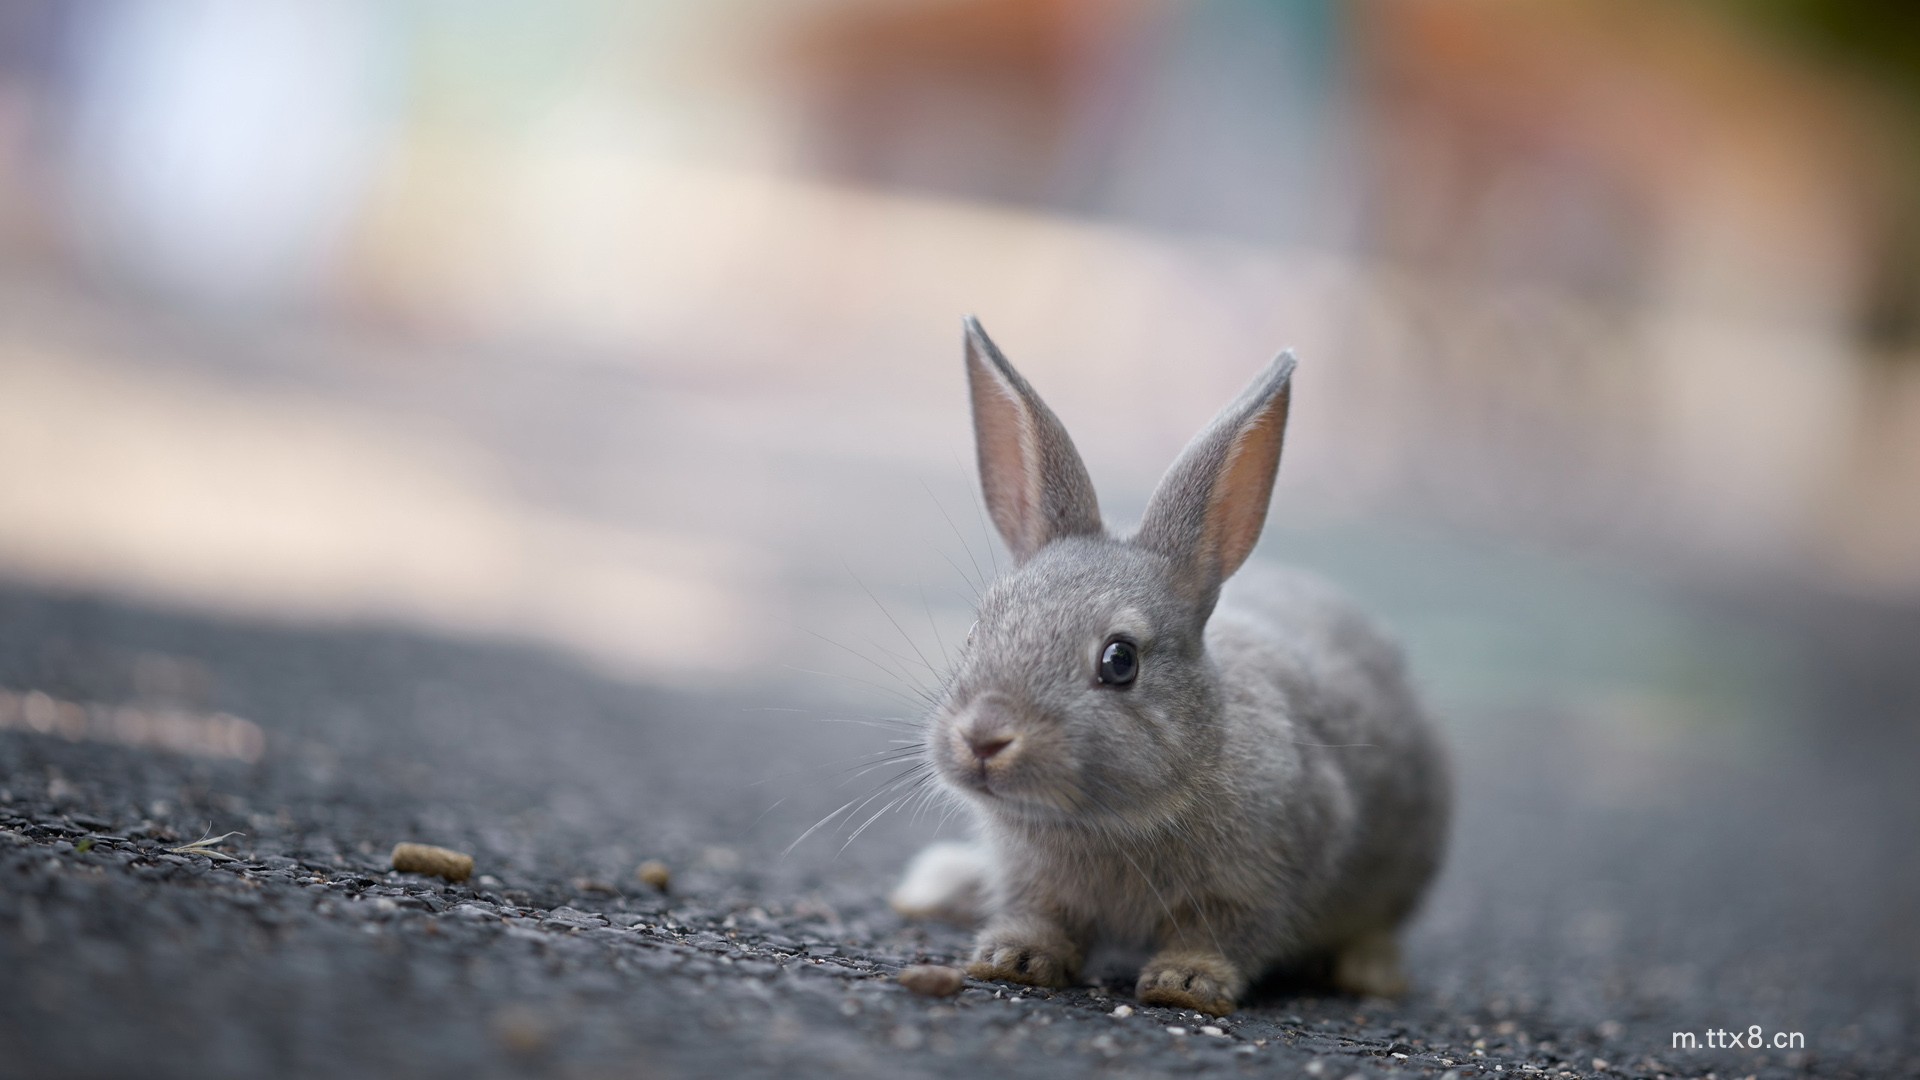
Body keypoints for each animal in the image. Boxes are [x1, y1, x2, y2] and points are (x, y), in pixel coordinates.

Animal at [890, 315, 1443, 1014]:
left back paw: (1371, 972)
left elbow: (1224, 935)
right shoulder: (1030, 880)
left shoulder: (1264, 877)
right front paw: (1013, 958)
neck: (1107, 820)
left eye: (1119, 660)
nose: (984, 737)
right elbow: (1040, 916)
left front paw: (1185, 984)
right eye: (975, 631)